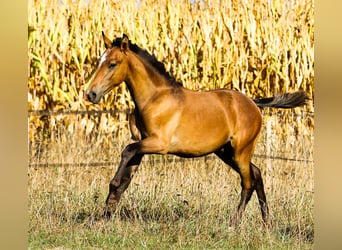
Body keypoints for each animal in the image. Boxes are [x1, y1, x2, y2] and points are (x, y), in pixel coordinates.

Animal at [85, 32, 310, 226]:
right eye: (99, 62)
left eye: (112, 64)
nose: (91, 94)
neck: (155, 98)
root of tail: (254, 103)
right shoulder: (143, 143)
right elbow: (126, 176)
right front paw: (105, 215)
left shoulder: (159, 144)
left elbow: (126, 152)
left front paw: (107, 208)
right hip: (226, 152)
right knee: (257, 174)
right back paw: (266, 223)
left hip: (241, 152)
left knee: (247, 183)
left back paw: (234, 224)